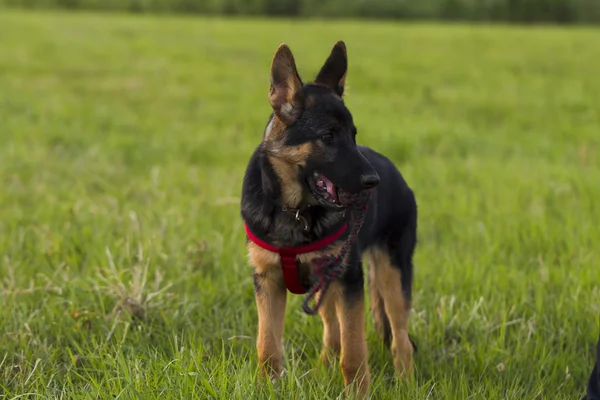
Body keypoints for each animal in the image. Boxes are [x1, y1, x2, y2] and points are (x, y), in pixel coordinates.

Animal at [239, 40, 418, 396]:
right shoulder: (268, 282)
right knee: (333, 331)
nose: (373, 182)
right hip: (327, 286)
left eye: (353, 135)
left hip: (391, 277)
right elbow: (268, 347)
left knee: (400, 340)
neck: (295, 210)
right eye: (328, 136)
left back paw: (406, 384)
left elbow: (354, 352)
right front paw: (268, 389)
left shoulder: (350, 282)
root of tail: (399, 177)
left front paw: (358, 394)